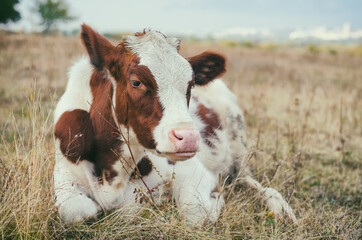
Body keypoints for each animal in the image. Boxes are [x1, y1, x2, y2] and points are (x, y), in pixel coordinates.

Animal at [53, 24, 296, 223]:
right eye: (136, 82)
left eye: (191, 84)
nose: (188, 137)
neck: (112, 175)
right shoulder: (64, 171)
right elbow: (75, 210)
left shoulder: (194, 171)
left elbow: (195, 212)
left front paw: (216, 199)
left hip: (239, 148)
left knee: (251, 182)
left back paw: (279, 207)